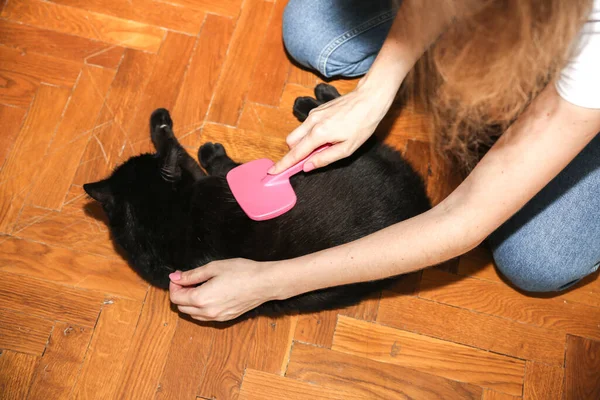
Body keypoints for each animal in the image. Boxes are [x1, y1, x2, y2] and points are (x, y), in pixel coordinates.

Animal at [84, 83, 432, 316]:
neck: (160, 225)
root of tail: (421, 201)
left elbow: (175, 149)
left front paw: (162, 123)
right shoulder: (205, 178)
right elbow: (184, 153)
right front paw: (184, 136)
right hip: (349, 158)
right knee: (358, 134)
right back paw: (314, 102)